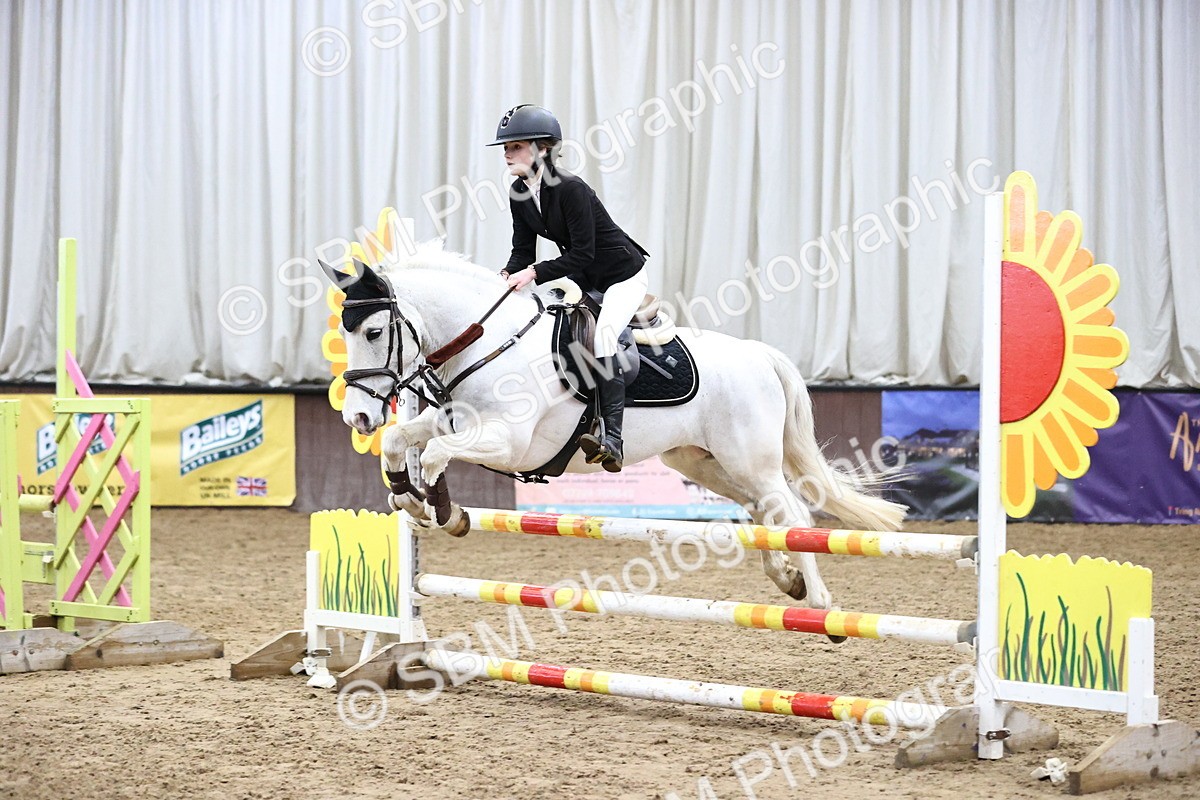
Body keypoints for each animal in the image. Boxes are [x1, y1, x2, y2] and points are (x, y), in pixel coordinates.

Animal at [322, 241, 905, 612]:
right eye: (347, 333)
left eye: (374, 332)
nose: (358, 417)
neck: (491, 342)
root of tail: (759, 355)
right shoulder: (449, 419)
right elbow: (402, 441)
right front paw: (408, 497)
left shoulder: (509, 444)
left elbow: (437, 454)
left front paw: (443, 510)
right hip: (703, 462)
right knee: (765, 512)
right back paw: (787, 582)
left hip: (751, 459)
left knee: (791, 512)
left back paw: (820, 603)